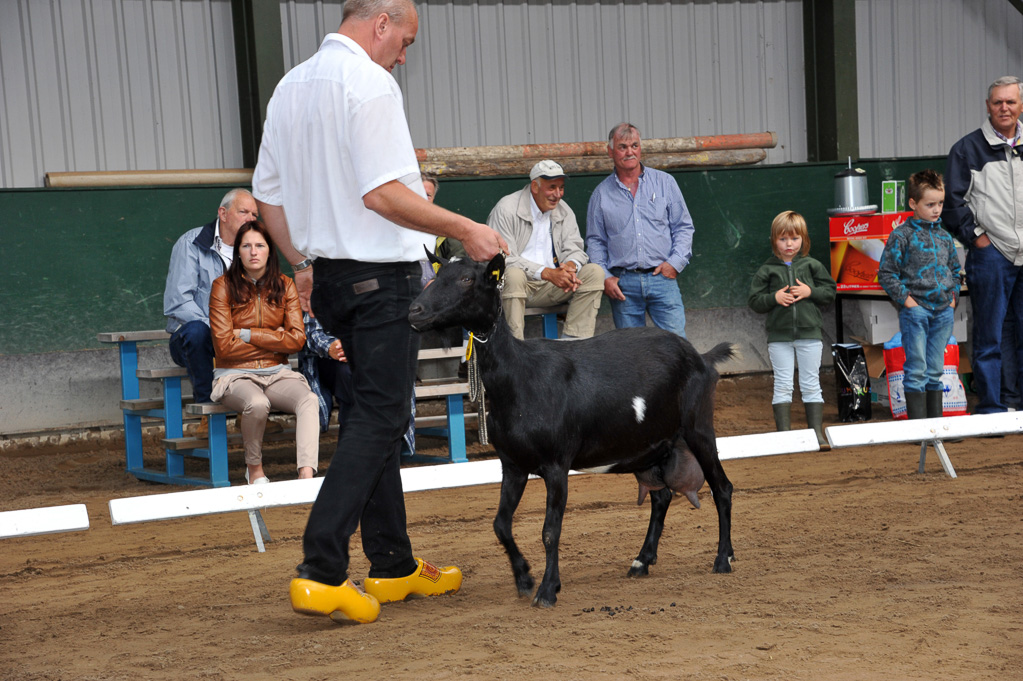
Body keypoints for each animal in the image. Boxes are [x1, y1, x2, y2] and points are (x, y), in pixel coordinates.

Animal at [407, 250, 736, 605]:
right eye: (436, 276)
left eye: (467, 279)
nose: (415, 310)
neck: (521, 376)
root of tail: (701, 356)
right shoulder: (513, 464)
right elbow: (500, 525)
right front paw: (524, 578)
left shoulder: (556, 464)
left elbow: (550, 531)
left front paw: (547, 590)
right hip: (648, 444)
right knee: (660, 496)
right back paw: (641, 561)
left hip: (698, 427)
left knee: (721, 487)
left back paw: (723, 559)